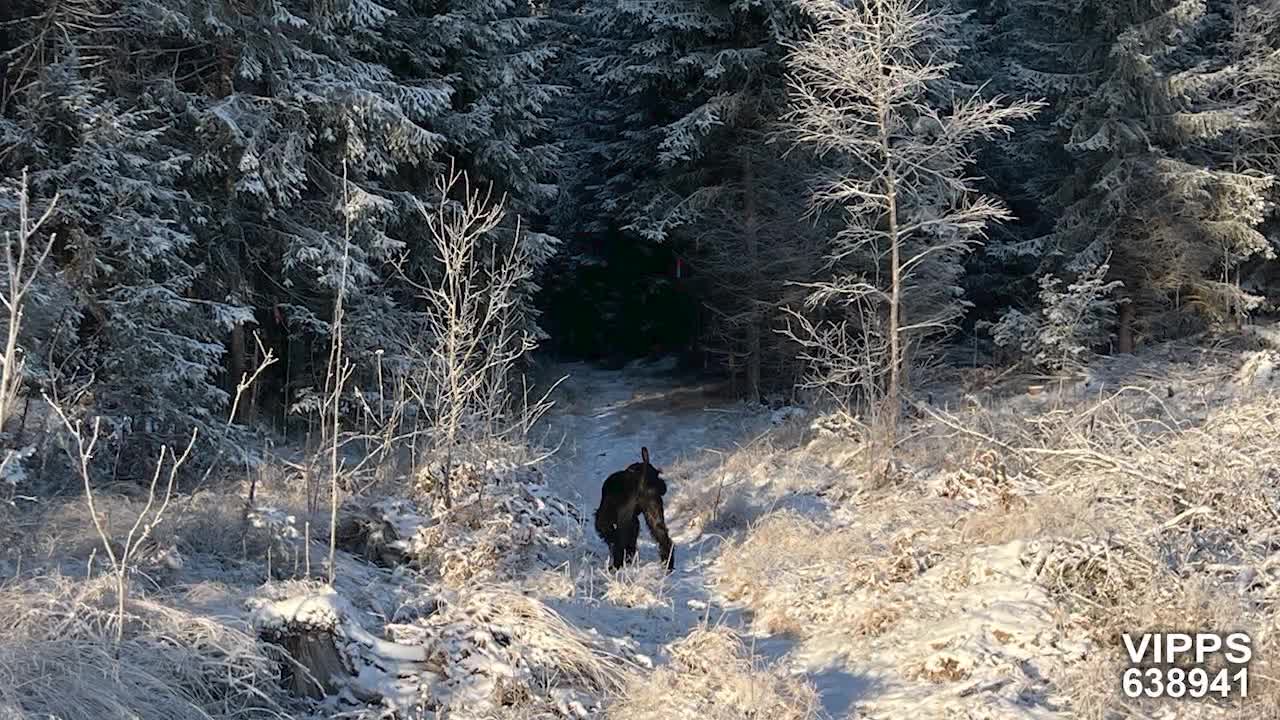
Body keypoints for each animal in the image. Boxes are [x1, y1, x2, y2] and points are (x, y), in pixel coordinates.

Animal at [596, 443, 680, 571]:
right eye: (657, 475)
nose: (663, 486)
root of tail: (641, 480)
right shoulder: (633, 521)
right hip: (653, 514)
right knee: (664, 538)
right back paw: (668, 564)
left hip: (623, 521)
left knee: (620, 542)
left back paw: (616, 566)